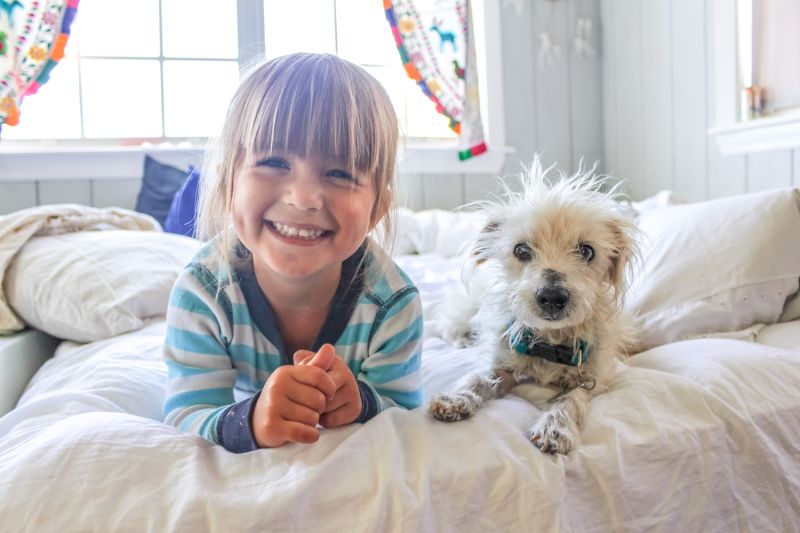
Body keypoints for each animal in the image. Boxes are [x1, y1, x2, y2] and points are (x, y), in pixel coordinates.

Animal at [428, 159, 640, 454]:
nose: (551, 296)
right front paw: (456, 397)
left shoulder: (594, 379)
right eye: (521, 250)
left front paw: (555, 427)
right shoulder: (502, 362)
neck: (550, 342)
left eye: (587, 251)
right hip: (467, 308)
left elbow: (571, 399)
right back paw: (463, 339)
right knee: (447, 326)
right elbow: (479, 378)